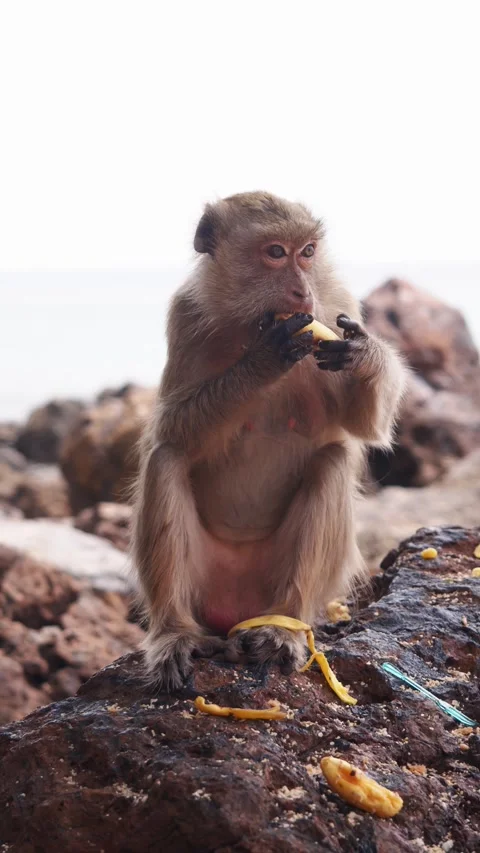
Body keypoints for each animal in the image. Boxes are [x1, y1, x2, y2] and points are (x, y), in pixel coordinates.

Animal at [131, 191, 407, 689]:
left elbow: (364, 427)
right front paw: (262, 361)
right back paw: (174, 632)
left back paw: (284, 626)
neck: (249, 321)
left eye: (308, 252)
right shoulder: (185, 315)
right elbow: (170, 429)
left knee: (332, 462)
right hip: (208, 578)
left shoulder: (336, 301)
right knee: (166, 458)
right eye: (276, 252)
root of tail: (237, 608)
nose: (302, 292)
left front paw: (365, 352)